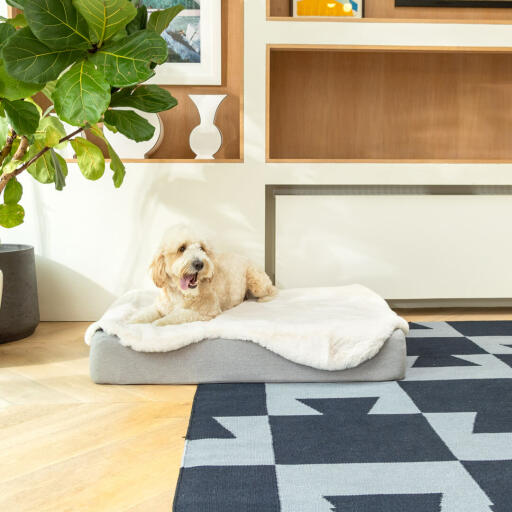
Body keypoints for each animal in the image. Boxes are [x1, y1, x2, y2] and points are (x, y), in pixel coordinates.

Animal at [130, 226, 278, 326]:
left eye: (202, 248)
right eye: (181, 248)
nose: (199, 264)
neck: (181, 293)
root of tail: (246, 258)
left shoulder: (206, 311)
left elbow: (178, 315)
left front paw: (160, 322)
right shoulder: (160, 306)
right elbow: (147, 312)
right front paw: (133, 320)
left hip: (256, 282)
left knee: (273, 290)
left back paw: (265, 298)